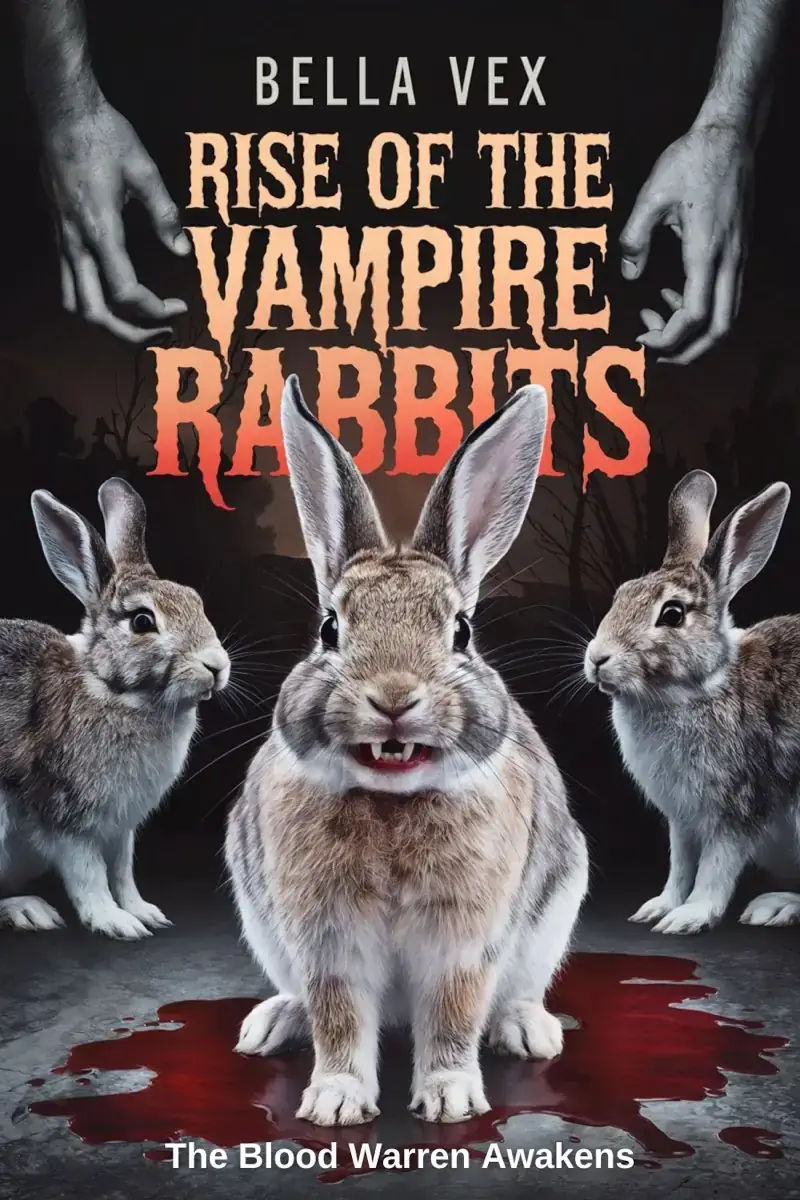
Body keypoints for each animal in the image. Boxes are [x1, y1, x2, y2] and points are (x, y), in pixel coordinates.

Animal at [0, 477, 230, 938]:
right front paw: (117, 922)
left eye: (196, 602)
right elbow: (88, 875)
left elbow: (123, 872)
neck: (114, 691)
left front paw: (145, 912)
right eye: (143, 621)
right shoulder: (67, 817)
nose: (216, 665)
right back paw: (28, 910)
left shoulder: (122, 828)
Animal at [226, 374, 588, 1128]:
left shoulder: (463, 942)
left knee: (513, 994)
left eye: (463, 631)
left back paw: (527, 1029)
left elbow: (453, 1014)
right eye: (330, 629)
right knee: (302, 1001)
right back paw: (271, 1024)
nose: (393, 696)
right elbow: (338, 1017)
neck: (392, 801)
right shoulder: (327, 940)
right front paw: (335, 1102)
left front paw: (450, 1098)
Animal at [584, 468, 800, 935]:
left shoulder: (737, 807)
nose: (597, 659)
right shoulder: (681, 819)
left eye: (673, 614)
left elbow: (716, 868)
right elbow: (680, 864)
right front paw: (658, 907)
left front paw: (689, 917)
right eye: (621, 594)